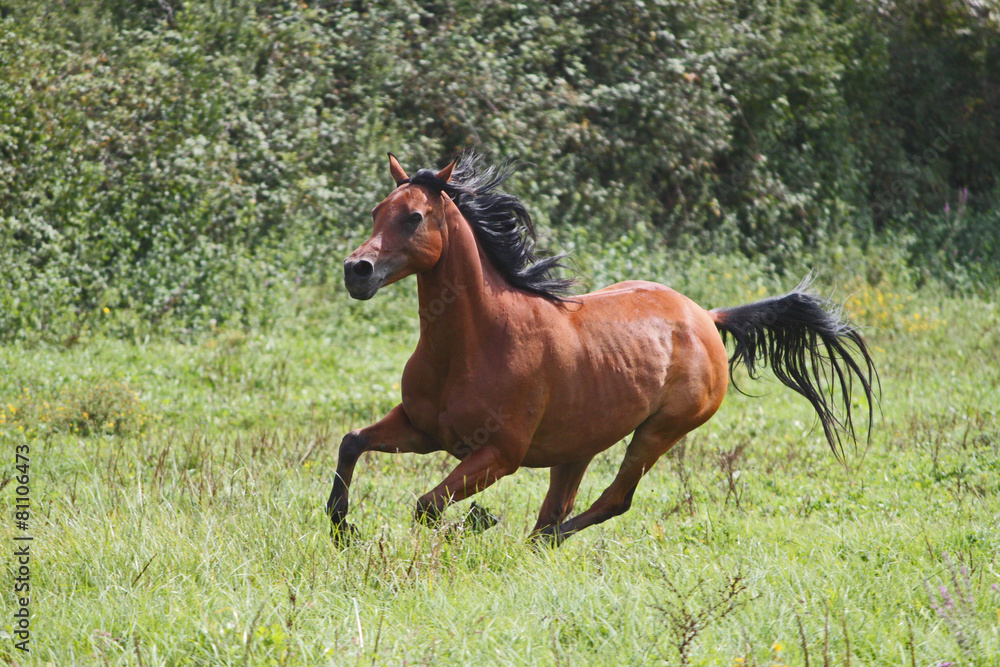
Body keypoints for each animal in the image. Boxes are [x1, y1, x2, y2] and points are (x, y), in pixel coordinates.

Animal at [326, 152, 877, 546]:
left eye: (414, 217)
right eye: (377, 212)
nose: (357, 271)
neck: (470, 345)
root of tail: (707, 316)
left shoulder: (499, 454)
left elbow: (427, 506)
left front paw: (475, 521)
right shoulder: (422, 429)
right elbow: (352, 442)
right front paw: (341, 528)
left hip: (659, 432)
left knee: (608, 502)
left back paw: (515, 534)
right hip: (578, 449)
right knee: (558, 513)